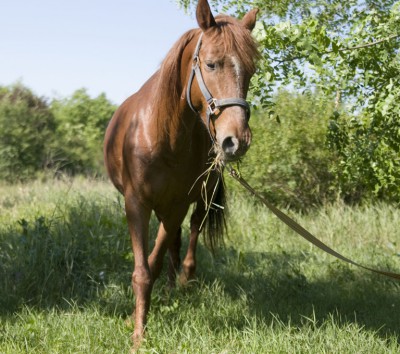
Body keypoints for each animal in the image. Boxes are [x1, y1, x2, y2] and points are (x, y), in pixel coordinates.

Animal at [103, 0, 260, 342]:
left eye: (251, 70)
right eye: (211, 65)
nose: (237, 140)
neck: (163, 136)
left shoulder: (177, 205)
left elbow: (155, 261)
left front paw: (140, 323)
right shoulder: (136, 205)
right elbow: (143, 270)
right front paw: (137, 331)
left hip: (199, 200)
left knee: (190, 238)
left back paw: (184, 283)